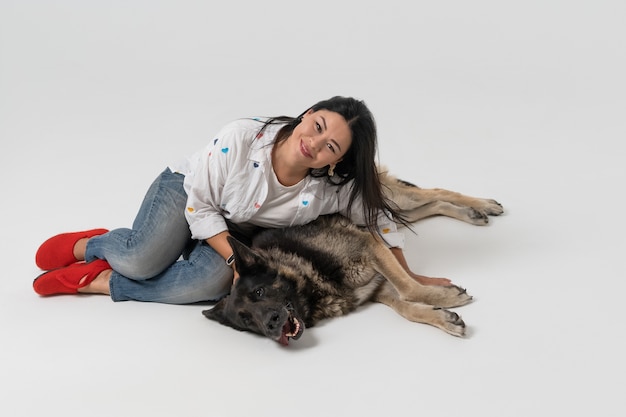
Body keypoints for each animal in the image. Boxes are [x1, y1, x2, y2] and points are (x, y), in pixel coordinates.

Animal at [204, 168, 502, 344]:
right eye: (246, 319)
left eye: (259, 292)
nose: (271, 325)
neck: (305, 274)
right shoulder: (377, 286)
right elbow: (405, 307)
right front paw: (443, 316)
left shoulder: (370, 248)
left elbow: (408, 288)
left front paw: (446, 297)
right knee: (432, 205)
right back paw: (472, 213)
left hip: (392, 202)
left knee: (436, 192)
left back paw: (482, 204)